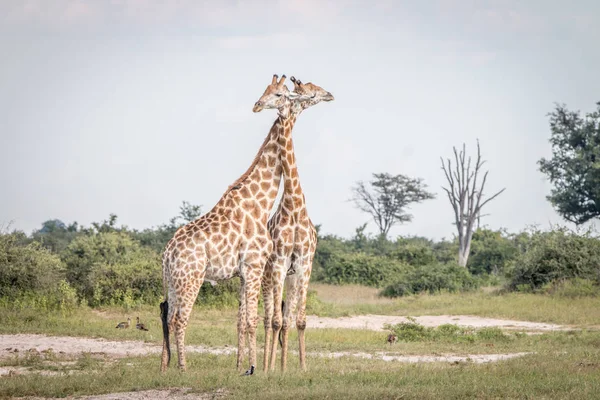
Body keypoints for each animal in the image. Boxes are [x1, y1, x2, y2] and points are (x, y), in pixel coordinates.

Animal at [159, 72, 310, 376]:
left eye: (279, 93)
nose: (256, 105)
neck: (260, 202)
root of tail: (168, 254)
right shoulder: (254, 266)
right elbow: (251, 320)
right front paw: (252, 367)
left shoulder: (244, 272)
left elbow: (244, 319)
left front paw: (246, 365)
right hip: (191, 279)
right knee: (180, 319)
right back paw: (184, 367)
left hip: (172, 281)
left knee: (168, 317)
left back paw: (165, 367)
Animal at [260, 76, 336, 372]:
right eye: (309, 91)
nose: (329, 95)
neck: (293, 206)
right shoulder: (280, 263)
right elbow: (276, 321)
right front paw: (271, 370)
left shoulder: (304, 265)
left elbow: (299, 321)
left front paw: (300, 369)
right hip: (266, 277)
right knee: (266, 319)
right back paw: (262, 366)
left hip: (290, 278)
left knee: (284, 320)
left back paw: (280, 366)